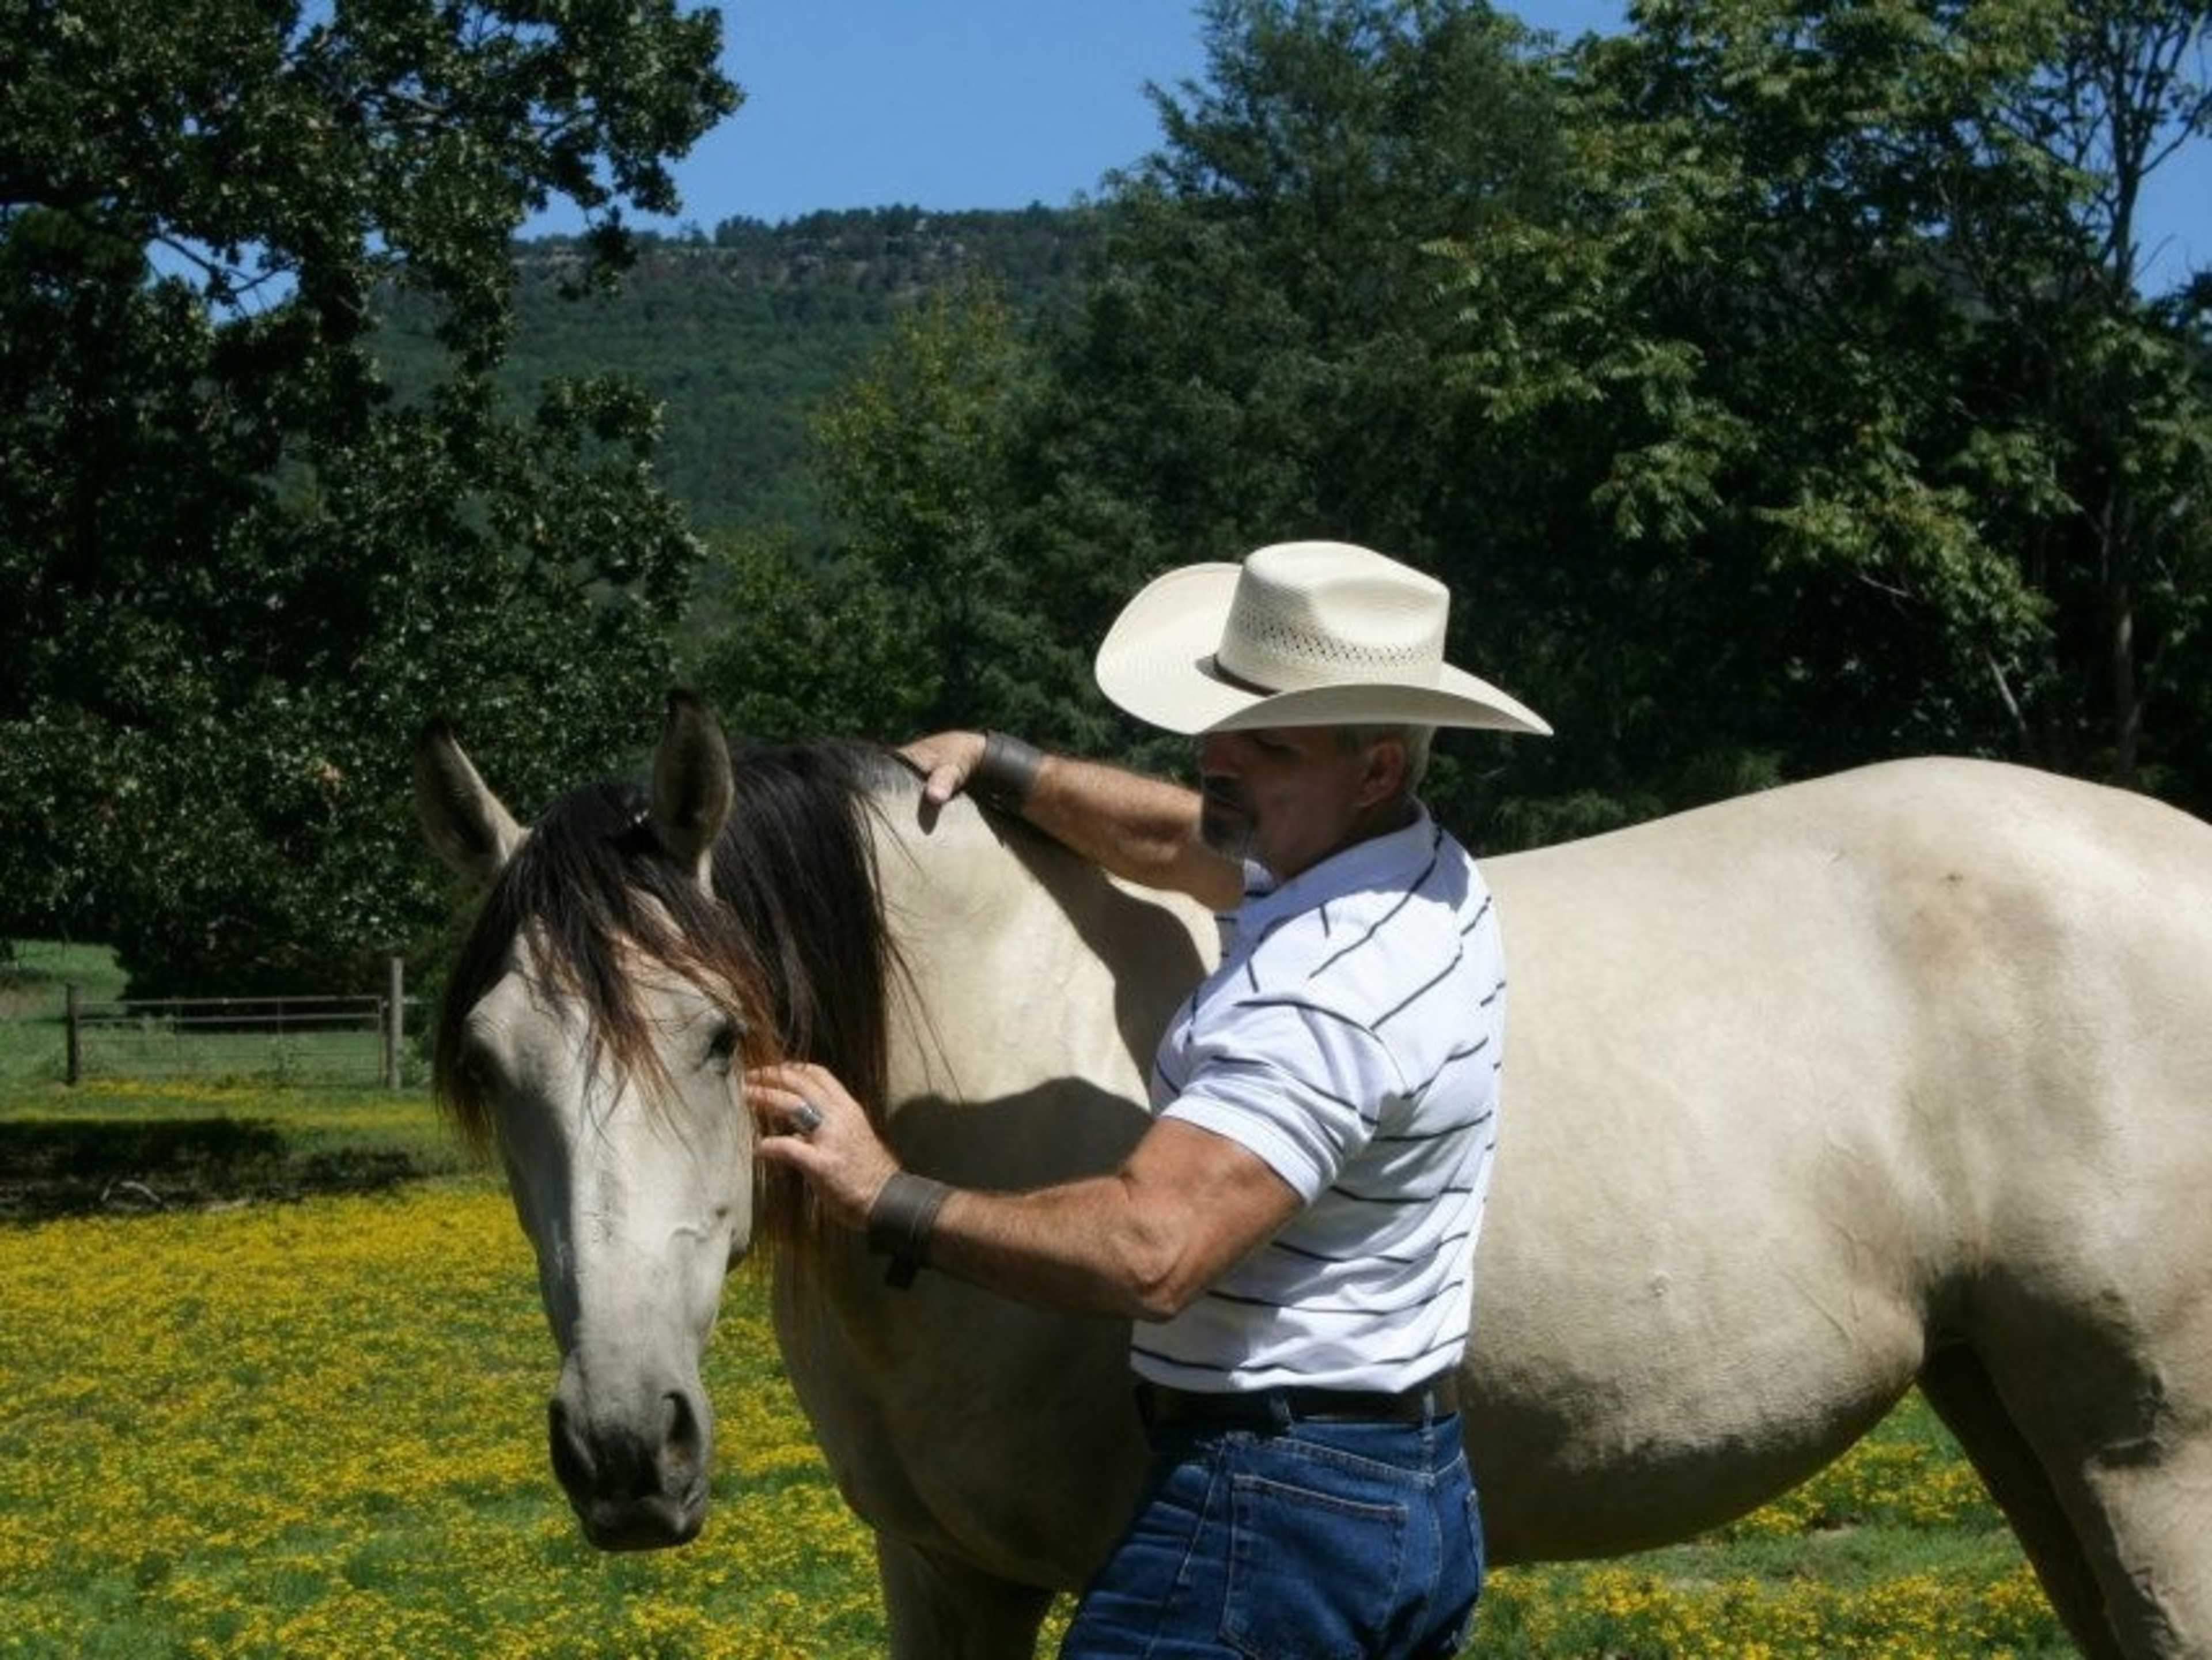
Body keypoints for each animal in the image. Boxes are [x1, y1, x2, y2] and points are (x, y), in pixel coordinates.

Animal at [414, 695, 2212, 1659]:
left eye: (720, 1036)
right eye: (491, 1065)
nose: (623, 1449)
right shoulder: (944, 1571)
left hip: (2149, 1461)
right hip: (2024, 1423)